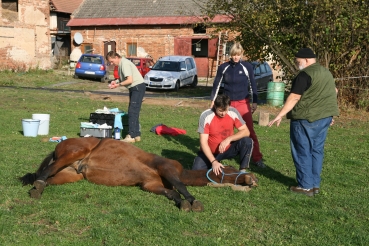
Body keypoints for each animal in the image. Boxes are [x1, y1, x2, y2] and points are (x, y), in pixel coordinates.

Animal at [19, 137, 256, 210]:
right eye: (232, 169)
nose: (252, 179)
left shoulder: (151, 185)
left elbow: (172, 193)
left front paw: (182, 203)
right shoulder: (167, 169)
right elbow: (181, 186)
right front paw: (193, 201)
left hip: (69, 174)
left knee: (47, 177)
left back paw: (38, 187)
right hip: (72, 154)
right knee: (46, 171)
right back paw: (38, 185)